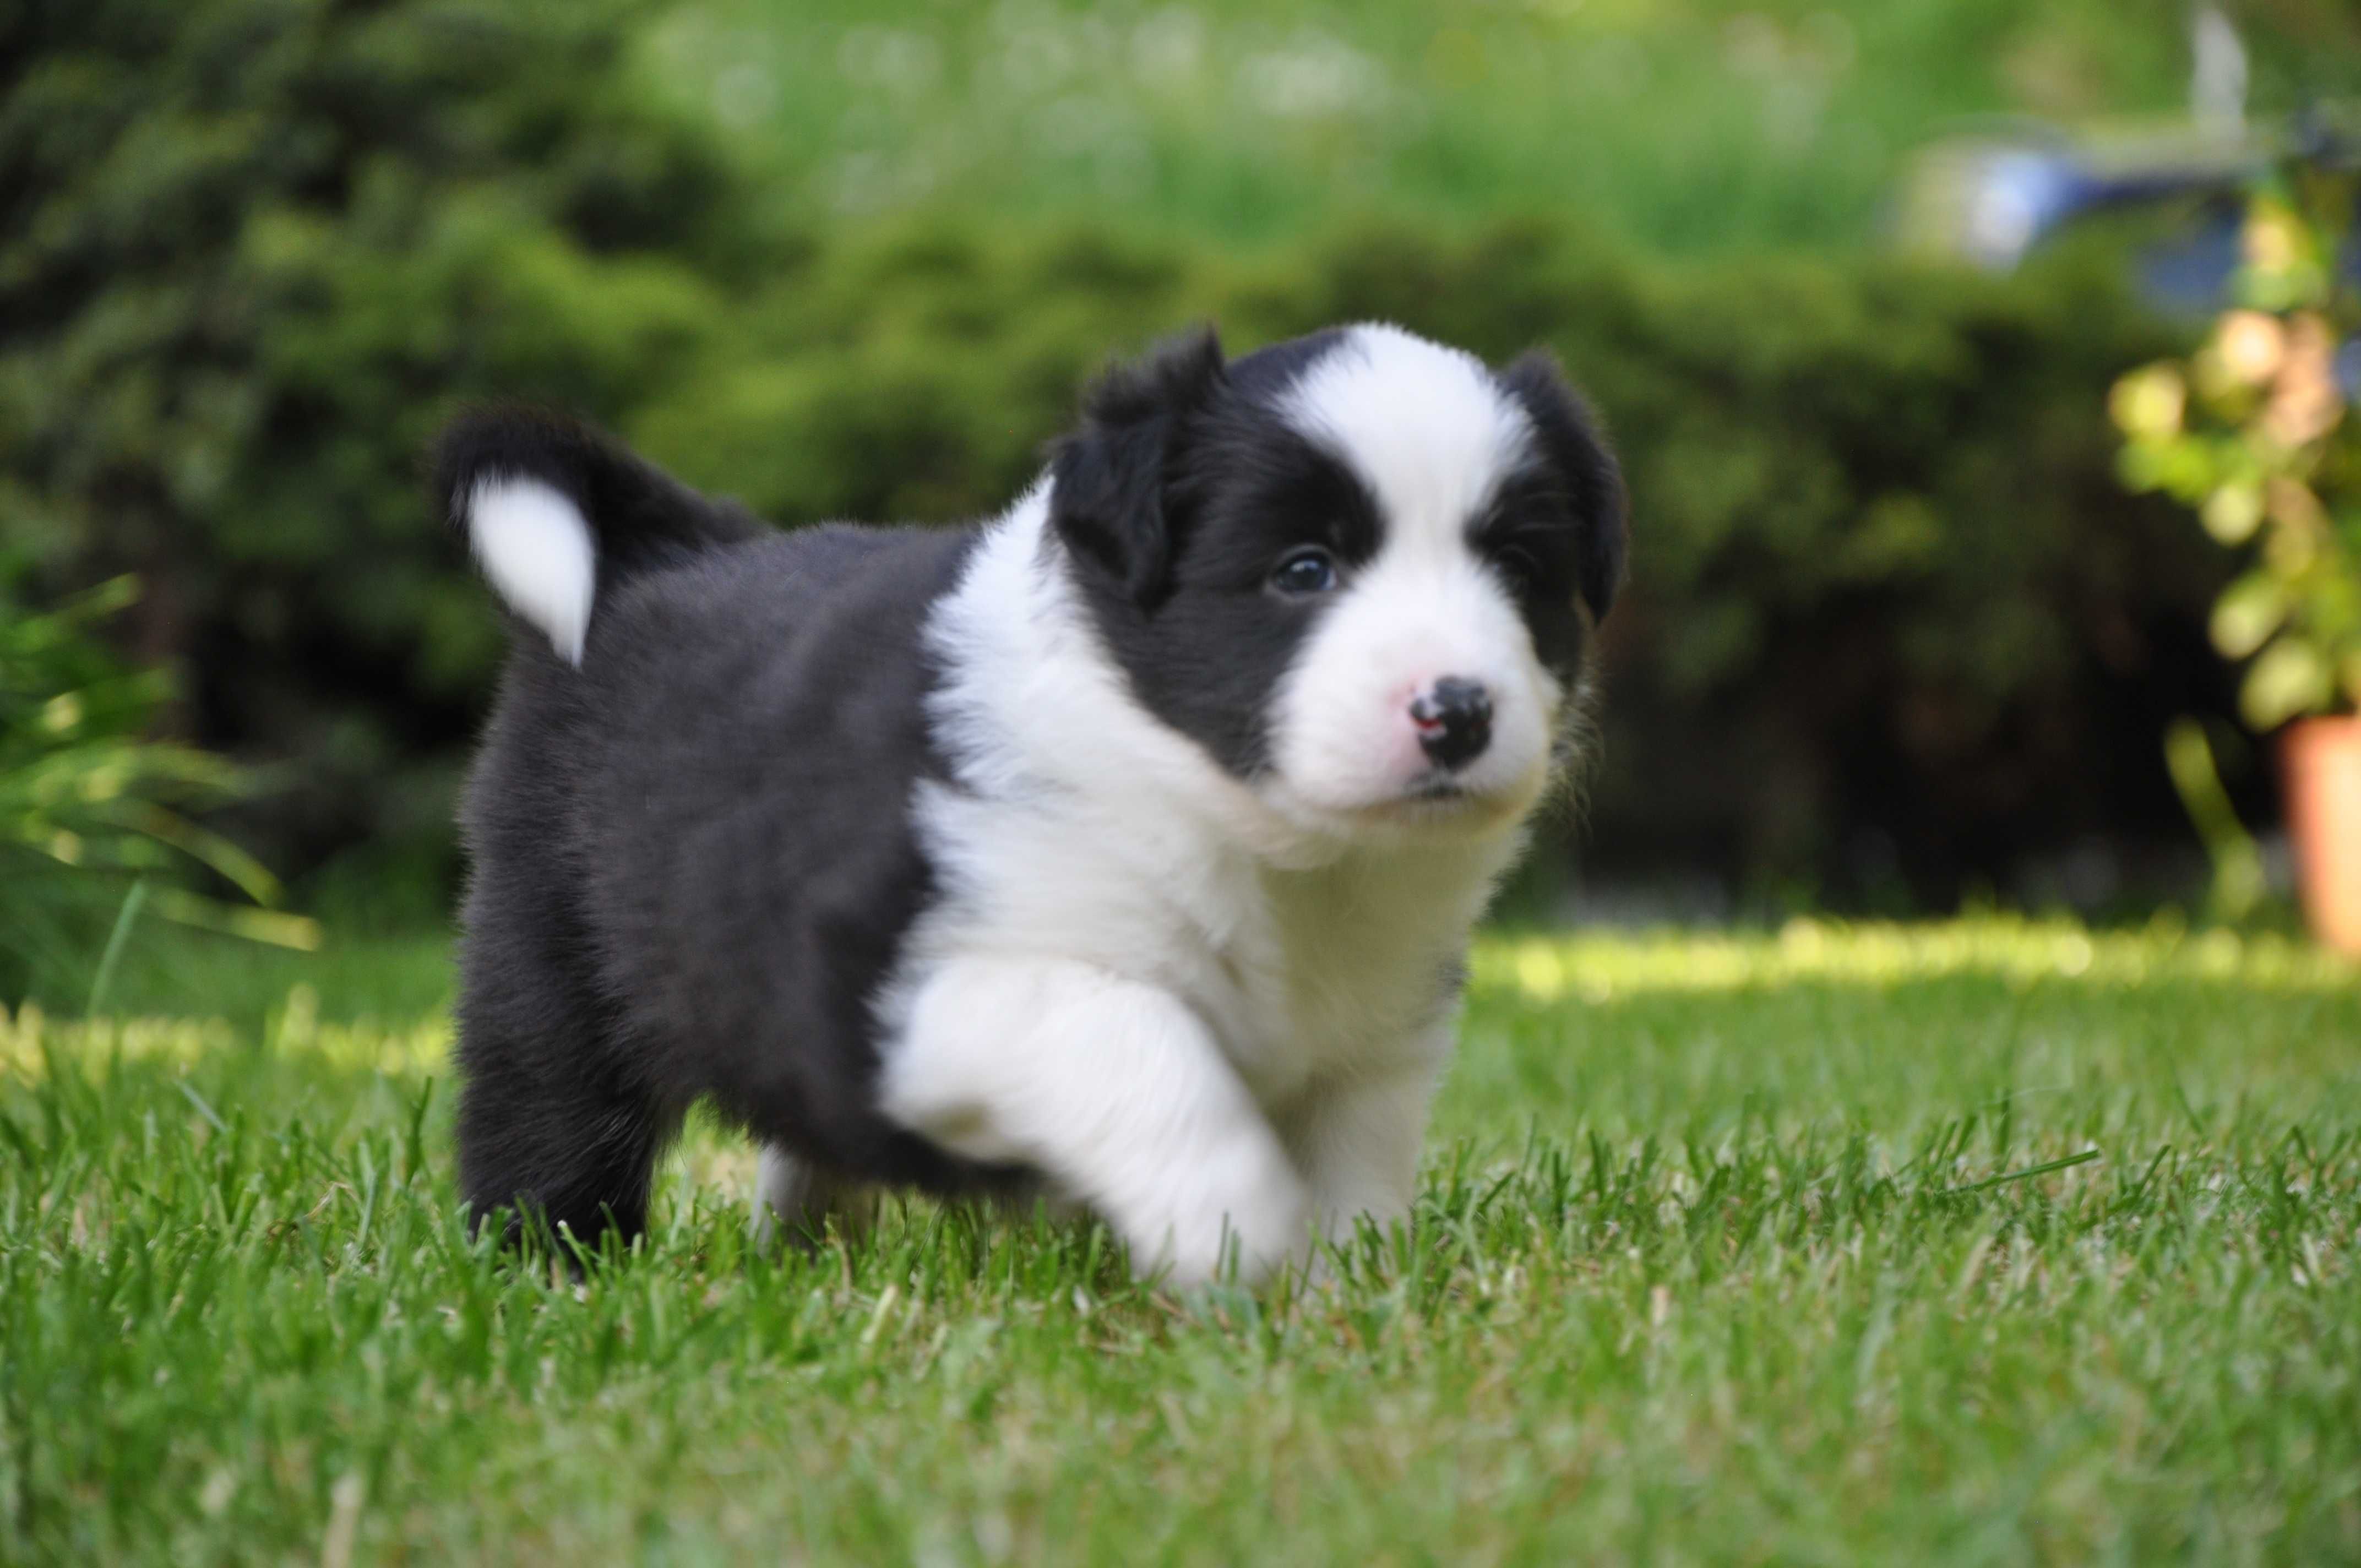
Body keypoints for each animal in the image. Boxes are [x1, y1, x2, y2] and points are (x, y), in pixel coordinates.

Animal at [439, 321, 1624, 1284]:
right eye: (1303, 569)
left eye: (1517, 570)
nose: (1458, 710)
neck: (1260, 839)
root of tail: (671, 548)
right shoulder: (927, 997)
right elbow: (1138, 1038)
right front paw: (1228, 1226)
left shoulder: (1370, 1038)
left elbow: (1355, 1168)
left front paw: (1339, 1301)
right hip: (557, 946)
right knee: (548, 1111)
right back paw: (554, 1269)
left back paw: (806, 1249)